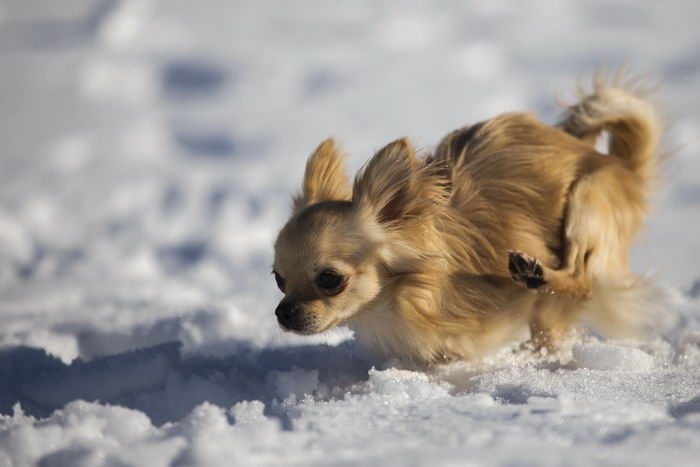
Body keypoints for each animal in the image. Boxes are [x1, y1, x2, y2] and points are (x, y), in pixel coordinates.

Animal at [272, 74, 660, 366]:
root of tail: (622, 165)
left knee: (581, 279)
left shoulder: (540, 309)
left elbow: (553, 317)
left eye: (330, 279)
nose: (282, 312)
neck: (403, 300)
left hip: (588, 198)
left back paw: (535, 274)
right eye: (278, 280)